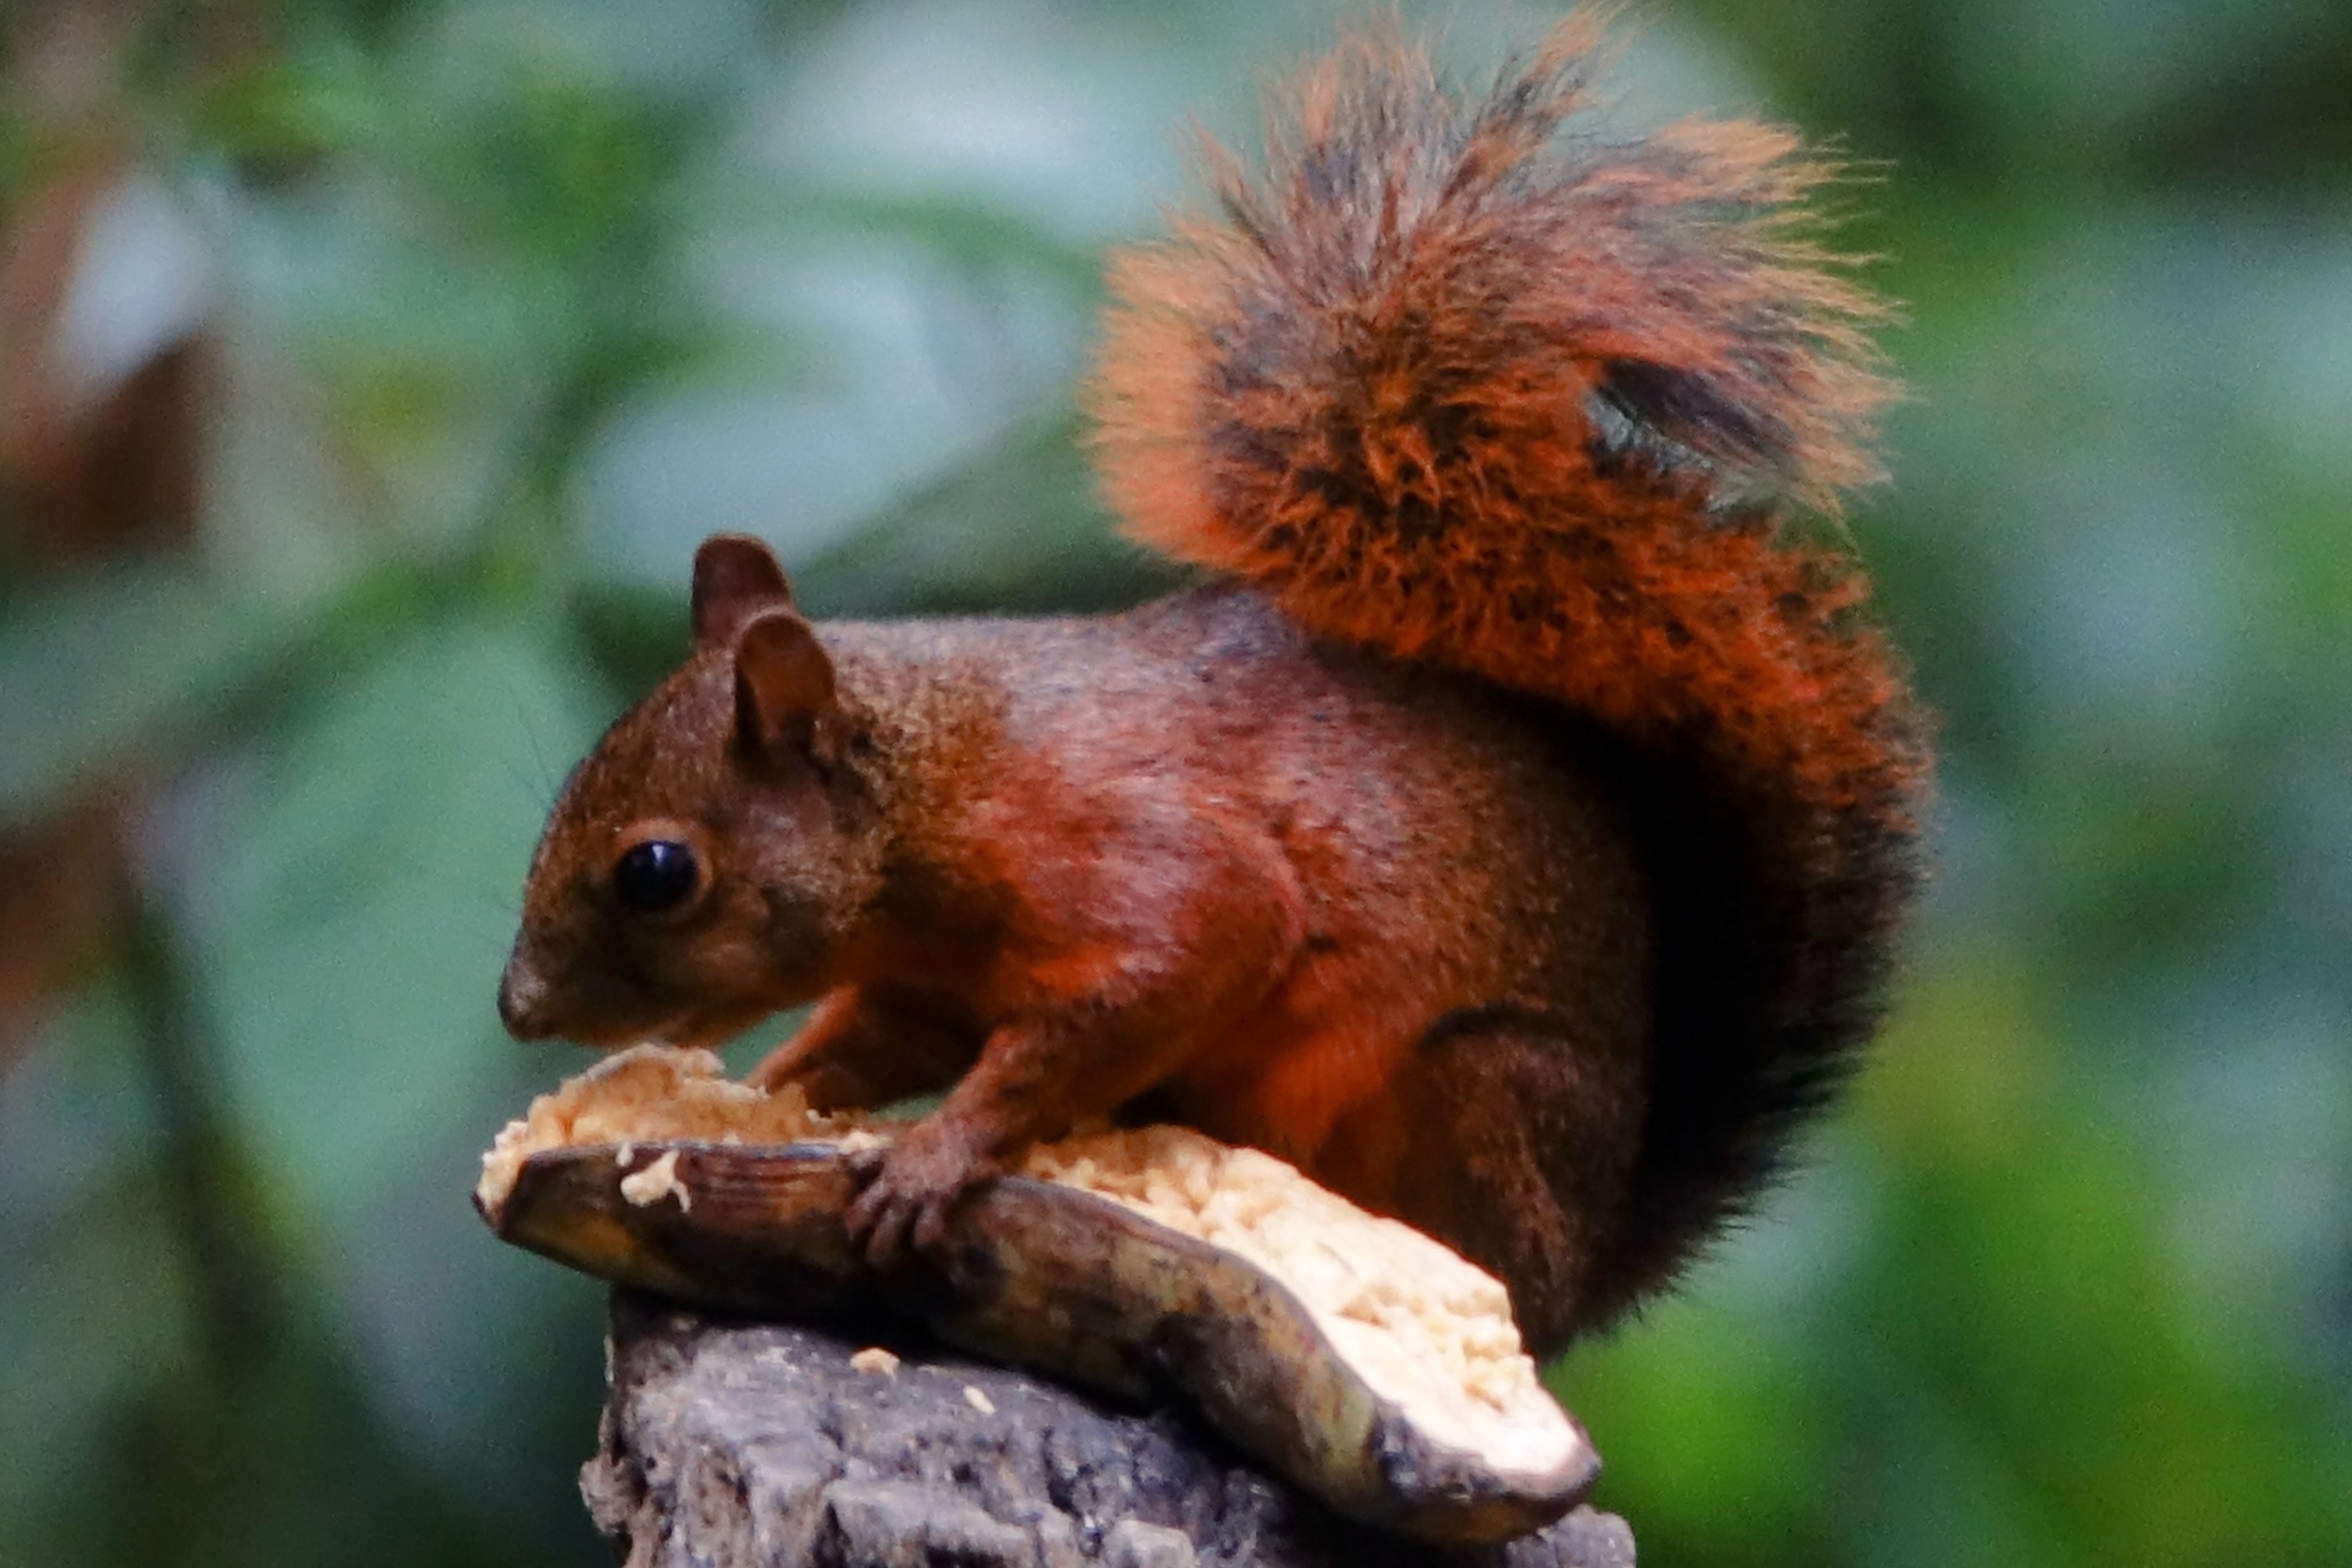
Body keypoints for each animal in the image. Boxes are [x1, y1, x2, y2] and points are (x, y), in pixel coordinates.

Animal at [497, 14, 1929, 1356]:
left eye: (658, 872)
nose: (516, 1007)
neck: (941, 775)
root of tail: (1580, 1283)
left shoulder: (1133, 857)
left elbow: (1177, 959)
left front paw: (933, 1156)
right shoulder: (928, 981)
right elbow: (877, 1037)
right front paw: (778, 1092)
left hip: (1473, 1093)